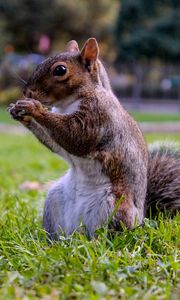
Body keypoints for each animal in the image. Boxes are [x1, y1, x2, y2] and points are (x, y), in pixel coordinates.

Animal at [8, 37, 180, 239]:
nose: (27, 93)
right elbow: (56, 143)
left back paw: (95, 241)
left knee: (109, 235)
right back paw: (54, 241)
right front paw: (20, 113)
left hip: (113, 208)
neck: (67, 104)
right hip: (54, 200)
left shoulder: (98, 116)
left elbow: (76, 138)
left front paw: (33, 108)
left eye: (60, 70)